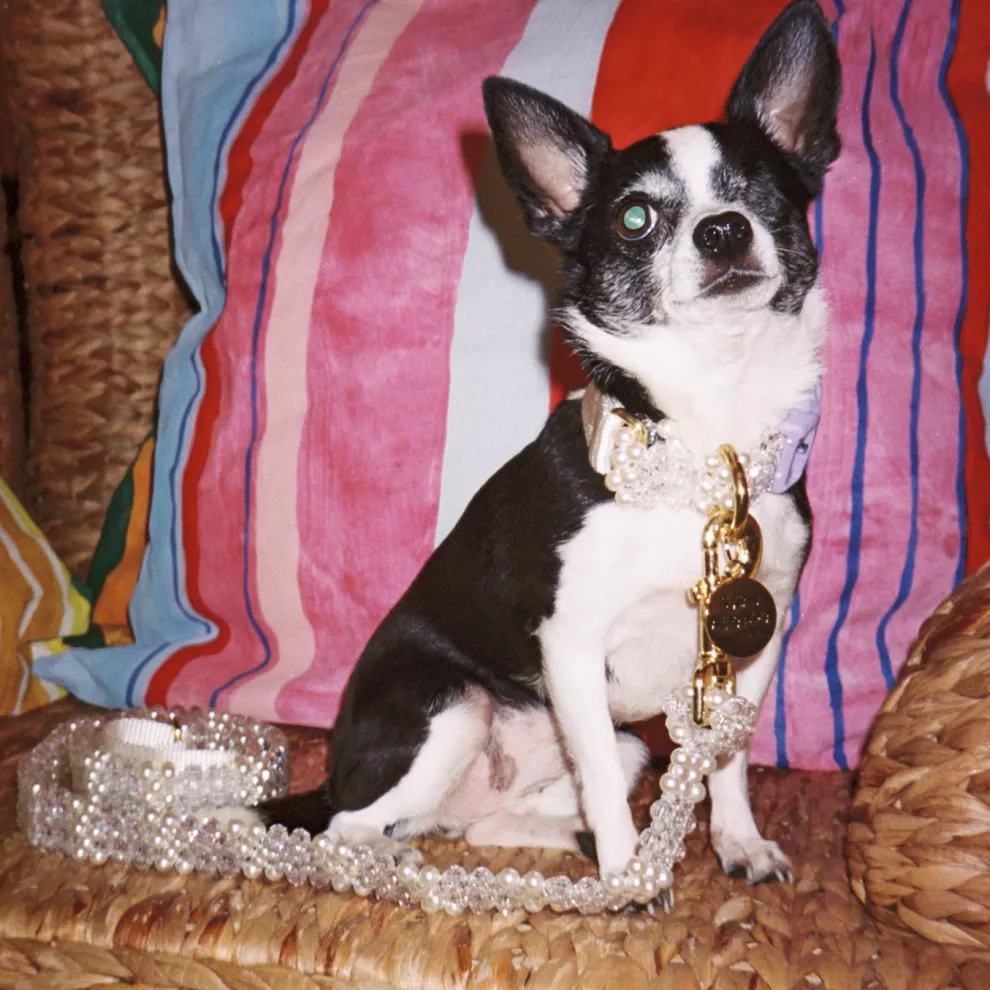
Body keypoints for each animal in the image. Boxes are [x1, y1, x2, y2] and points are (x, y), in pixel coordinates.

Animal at [261, 0, 841, 892]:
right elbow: (599, 774)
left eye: (770, 198)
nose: (723, 229)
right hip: (451, 707)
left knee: (483, 823)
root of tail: (335, 771)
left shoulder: (752, 646)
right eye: (635, 219)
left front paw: (737, 841)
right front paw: (630, 879)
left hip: (625, 744)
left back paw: (546, 839)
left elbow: (728, 756)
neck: (696, 451)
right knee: (345, 829)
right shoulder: (570, 646)